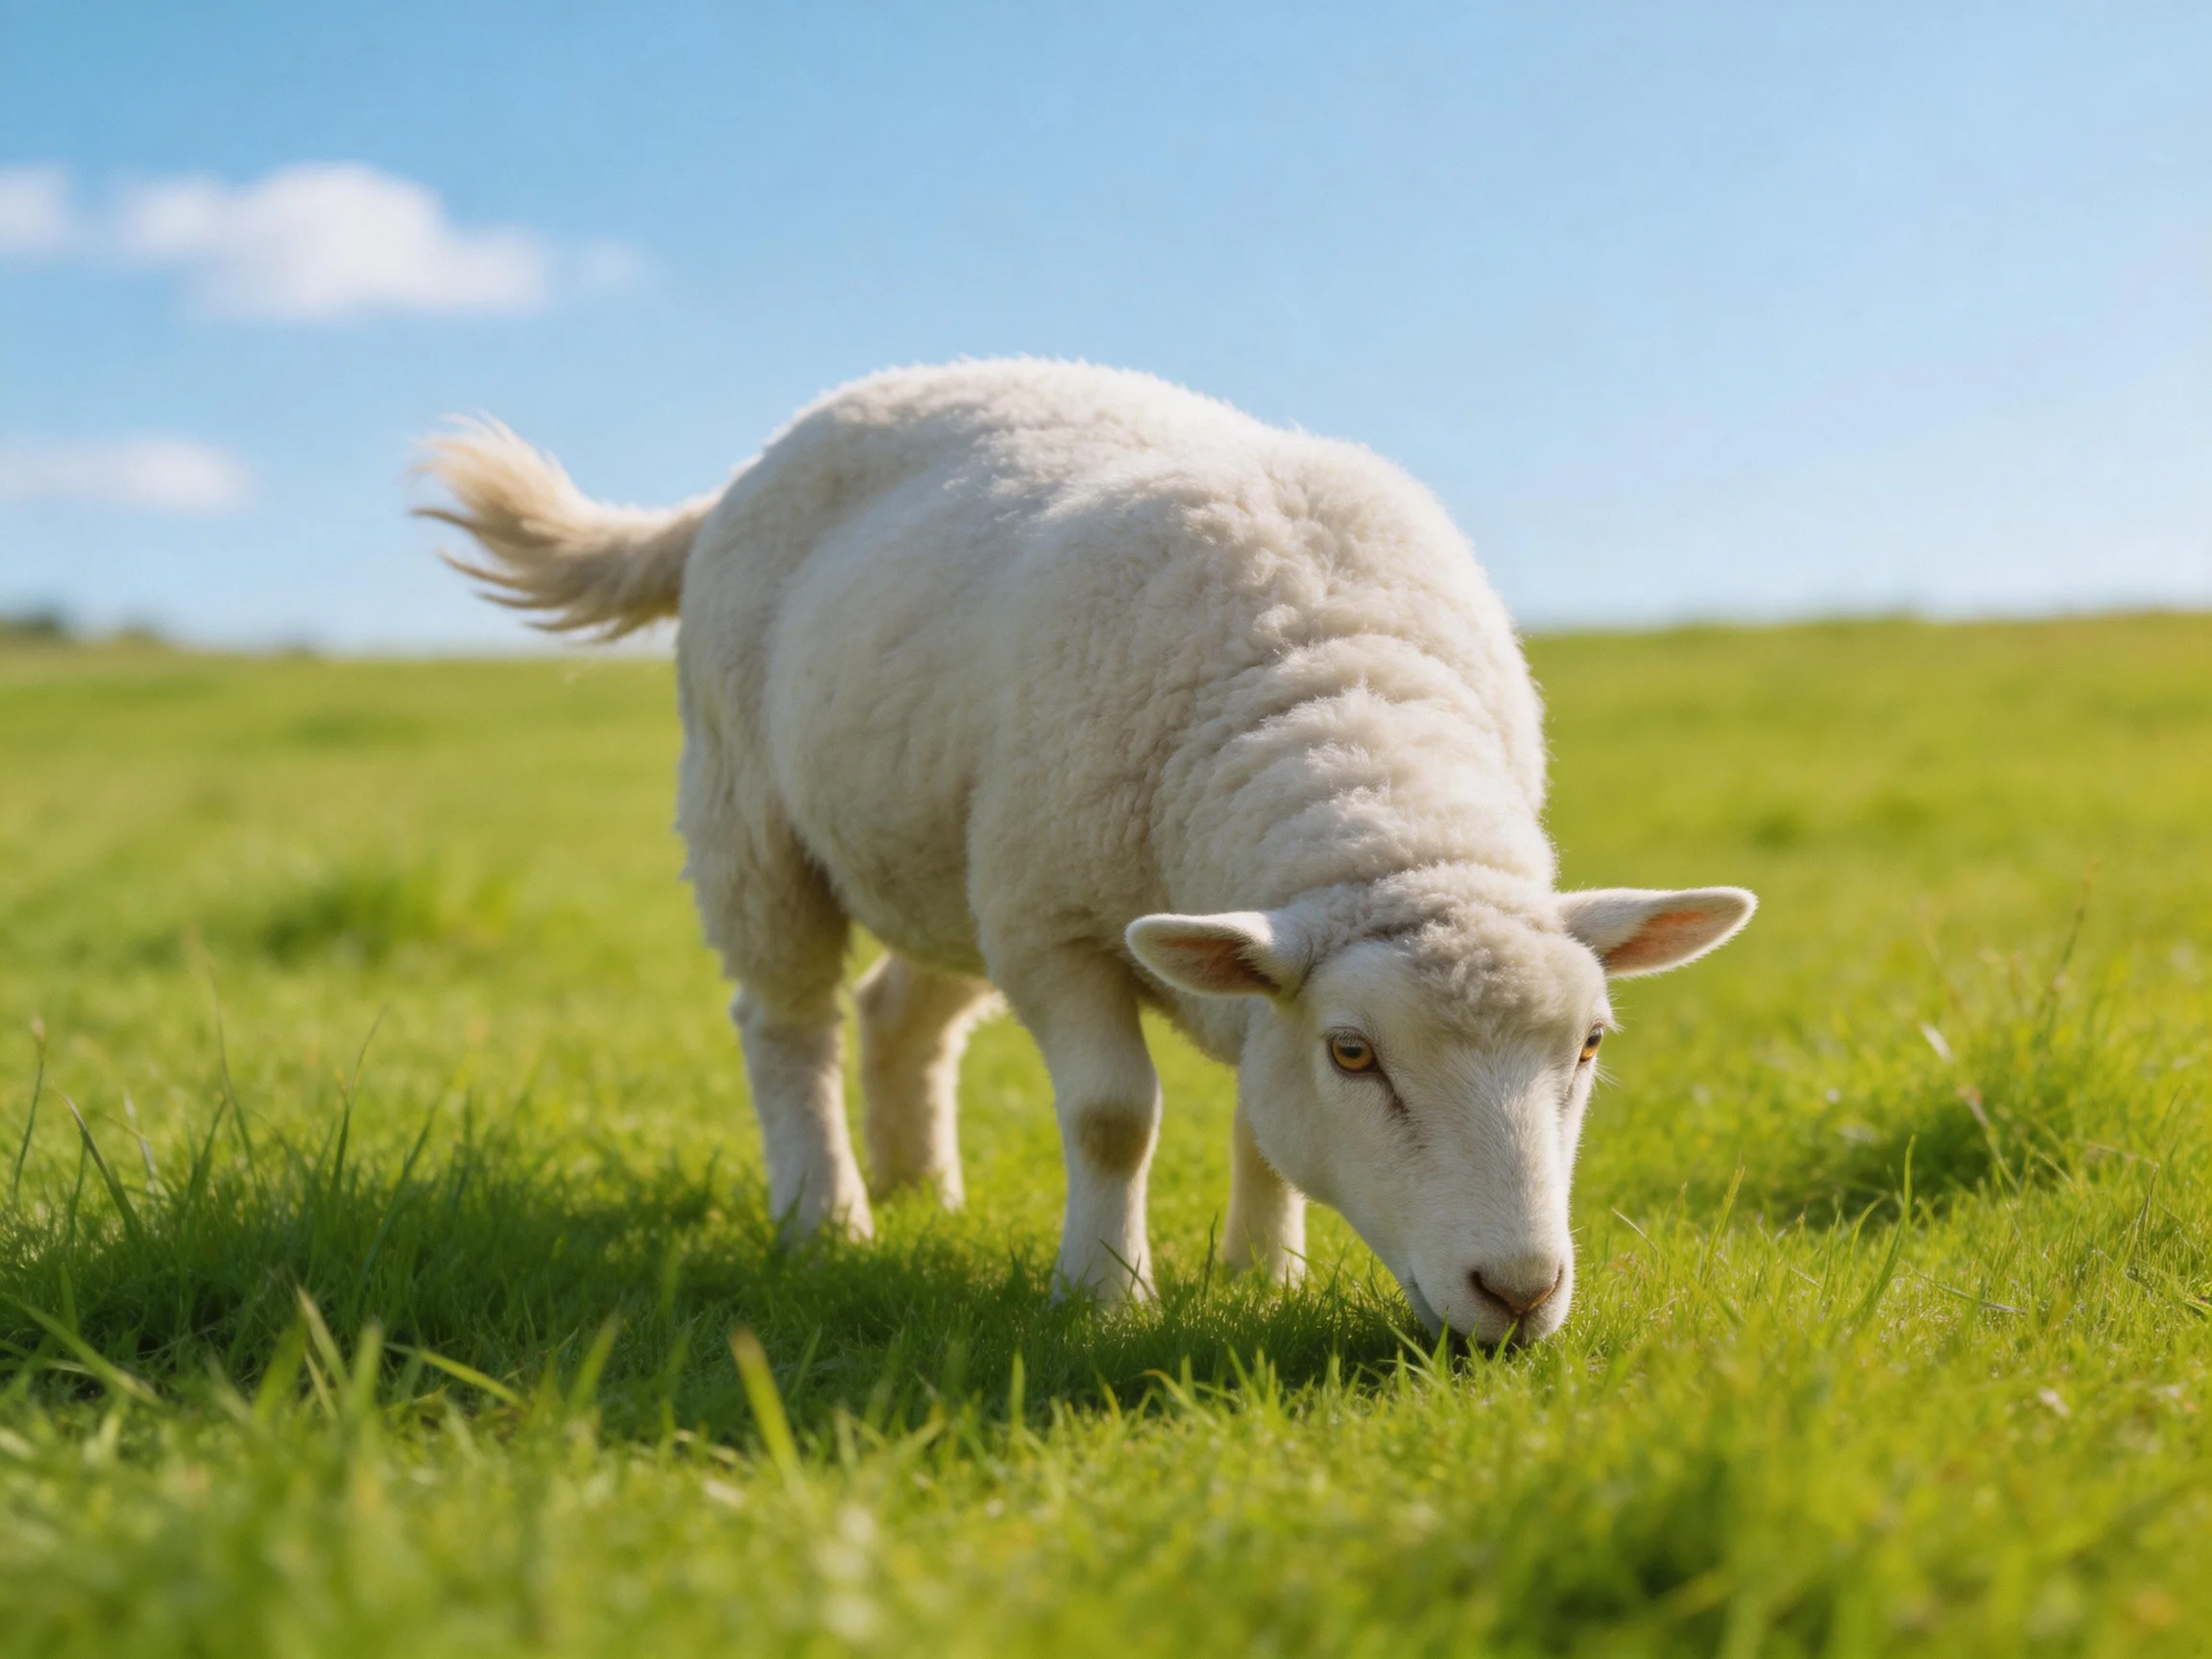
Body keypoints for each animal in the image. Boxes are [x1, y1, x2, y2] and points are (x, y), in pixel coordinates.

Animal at [419, 359, 1755, 1346]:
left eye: (1590, 1045)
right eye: (1355, 1052)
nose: (1518, 1295)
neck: (1346, 710)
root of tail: (757, 462)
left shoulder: (1176, 942)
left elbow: (1256, 1124)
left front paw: (1261, 1276)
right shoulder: (1054, 930)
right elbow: (1115, 1118)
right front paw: (1105, 1294)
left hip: (945, 848)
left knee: (901, 1013)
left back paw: (922, 1194)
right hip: (756, 816)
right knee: (786, 1021)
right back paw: (828, 1219)